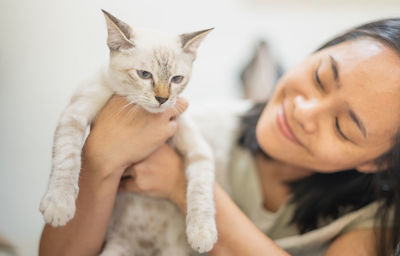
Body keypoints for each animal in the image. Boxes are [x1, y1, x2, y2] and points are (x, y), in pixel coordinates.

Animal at [39, 10, 217, 254]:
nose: (162, 99)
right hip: (115, 247)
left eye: (176, 79)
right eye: (144, 74)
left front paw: (202, 233)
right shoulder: (74, 114)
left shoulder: (198, 149)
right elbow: (67, 160)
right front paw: (59, 205)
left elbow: (201, 188)